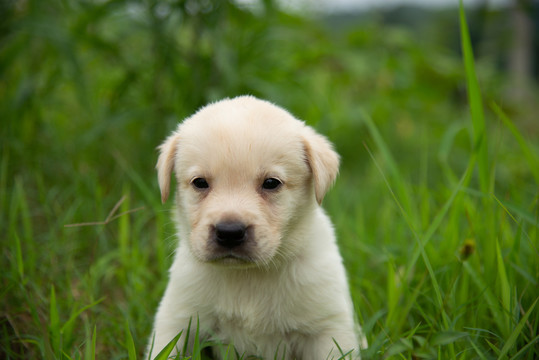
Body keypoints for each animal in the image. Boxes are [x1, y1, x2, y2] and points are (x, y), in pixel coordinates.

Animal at [149, 94, 368, 358]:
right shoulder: (177, 320)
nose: (229, 232)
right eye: (199, 183)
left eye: (271, 183)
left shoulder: (328, 328)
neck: (248, 276)